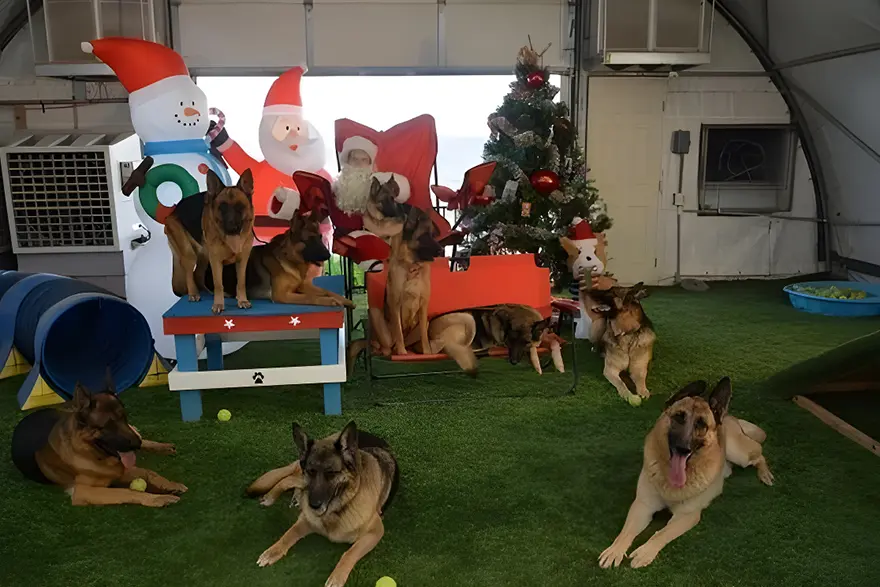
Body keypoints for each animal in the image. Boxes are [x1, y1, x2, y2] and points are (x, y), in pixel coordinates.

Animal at [10, 376, 186, 510]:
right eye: (108, 425)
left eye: (124, 418)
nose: (136, 444)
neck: (90, 451)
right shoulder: (83, 491)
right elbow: (126, 492)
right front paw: (156, 498)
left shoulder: (120, 469)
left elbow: (150, 472)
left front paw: (170, 484)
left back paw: (162, 446)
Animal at [164, 168, 254, 314]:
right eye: (222, 207)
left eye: (240, 207)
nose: (232, 228)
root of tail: (173, 211)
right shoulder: (216, 261)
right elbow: (218, 284)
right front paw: (218, 304)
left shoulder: (242, 261)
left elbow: (241, 282)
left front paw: (242, 300)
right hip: (190, 255)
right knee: (190, 274)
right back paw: (193, 294)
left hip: (205, 256)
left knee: (198, 275)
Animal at [248, 422, 398, 587]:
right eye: (311, 471)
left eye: (331, 473)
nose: (313, 505)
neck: (338, 508)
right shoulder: (306, 520)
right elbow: (289, 533)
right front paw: (272, 551)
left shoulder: (376, 531)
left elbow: (350, 552)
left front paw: (337, 577)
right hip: (301, 477)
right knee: (288, 478)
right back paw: (272, 497)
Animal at [600, 378, 776, 572]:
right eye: (679, 416)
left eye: (701, 424)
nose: (683, 448)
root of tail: (729, 417)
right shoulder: (642, 505)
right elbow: (626, 532)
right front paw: (614, 550)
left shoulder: (687, 515)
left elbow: (661, 533)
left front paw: (644, 552)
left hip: (740, 454)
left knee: (759, 453)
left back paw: (765, 474)